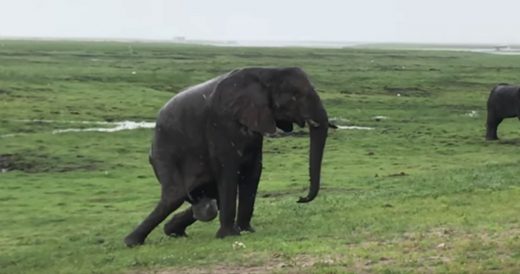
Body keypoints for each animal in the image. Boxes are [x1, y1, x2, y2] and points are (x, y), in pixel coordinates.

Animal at [123, 66, 330, 246]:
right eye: (296, 96)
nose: (301, 199)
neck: (266, 72)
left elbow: (253, 171)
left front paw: (247, 231)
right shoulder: (220, 121)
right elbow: (228, 170)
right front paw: (229, 236)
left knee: (210, 199)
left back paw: (173, 230)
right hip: (163, 153)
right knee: (175, 195)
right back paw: (131, 242)